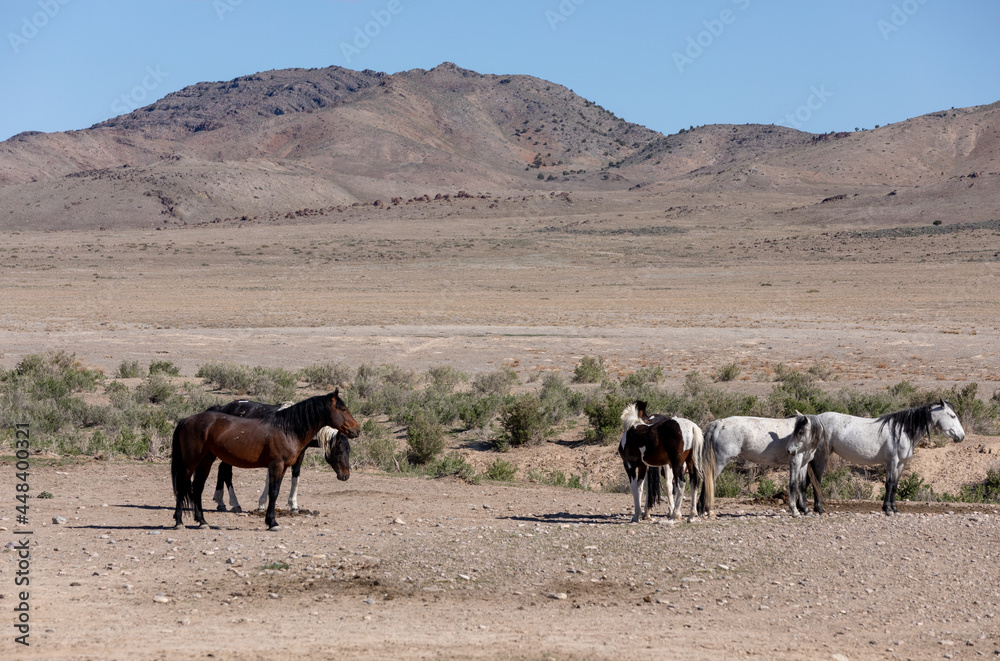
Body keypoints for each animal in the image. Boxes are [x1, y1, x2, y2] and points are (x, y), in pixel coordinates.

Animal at [172, 390, 360, 528]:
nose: (356, 429)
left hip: (207, 460)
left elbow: (285, 485)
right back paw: (181, 521)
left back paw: (203, 520)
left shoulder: (288, 464)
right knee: (185, 484)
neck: (287, 428)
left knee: (198, 486)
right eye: (343, 409)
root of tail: (186, 420)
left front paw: (287, 509)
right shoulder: (276, 464)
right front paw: (271, 519)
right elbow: (273, 490)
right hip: (191, 462)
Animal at [792, 398, 964, 516]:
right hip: (820, 457)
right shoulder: (892, 461)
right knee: (816, 480)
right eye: (952, 416)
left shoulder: (900, 464)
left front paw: (894, 508)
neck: (902, 430)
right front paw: (887, 509)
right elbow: (889, 484)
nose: (961, 436)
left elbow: (895, 485)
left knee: (806, 481)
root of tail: (815, 420)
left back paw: (803, 508)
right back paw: (819, 508)